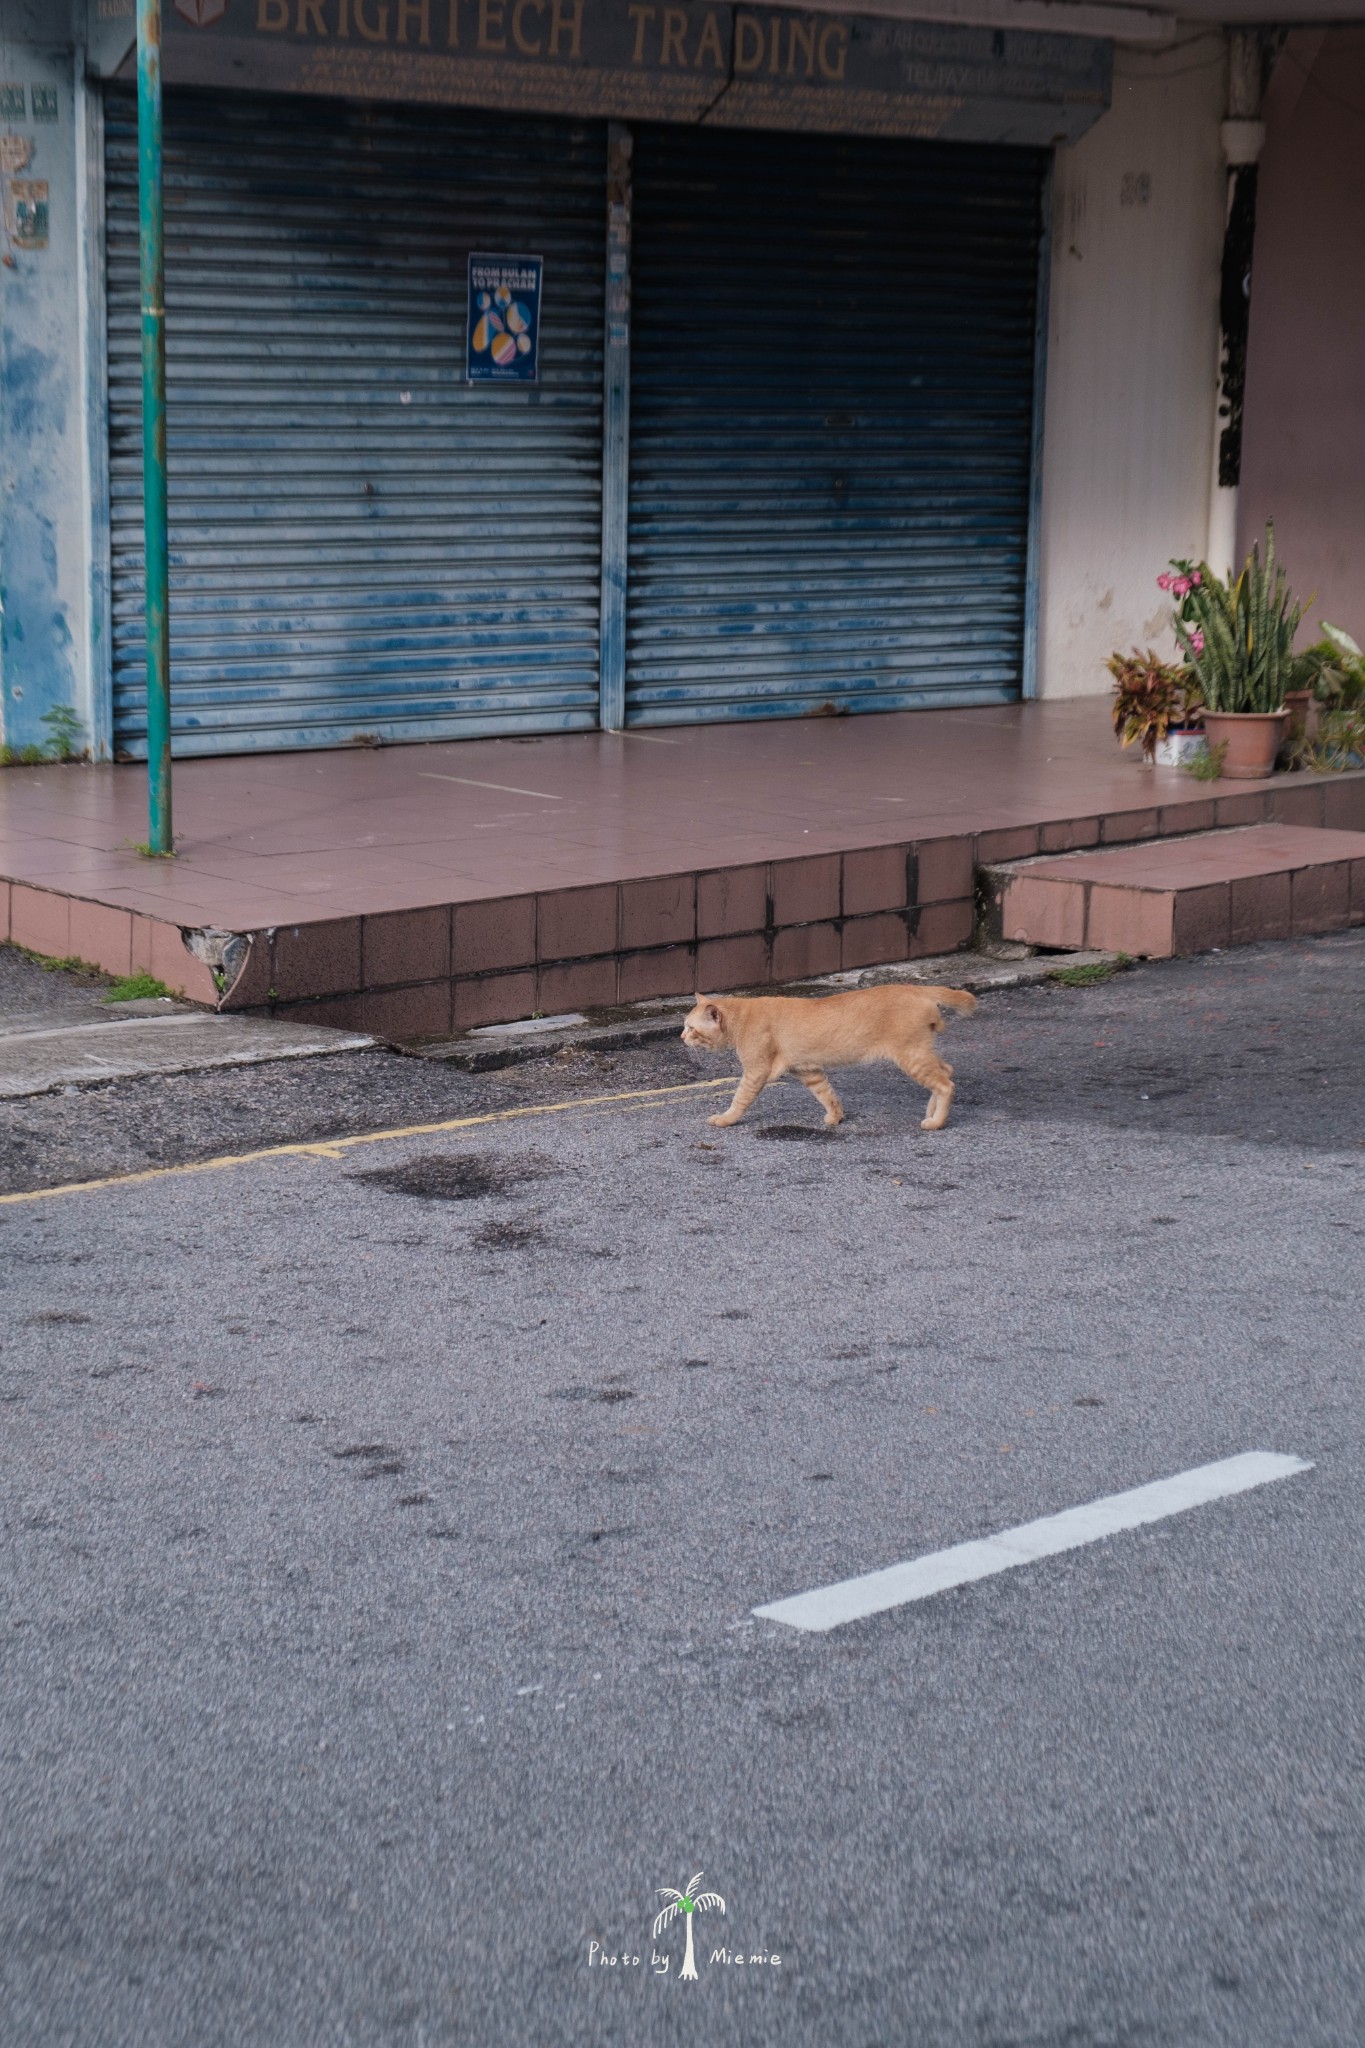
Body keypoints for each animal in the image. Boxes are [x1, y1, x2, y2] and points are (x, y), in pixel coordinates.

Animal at [687, 978, 978, 1130]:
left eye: (690, 1028)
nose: (681, 1038)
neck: (742, 1015)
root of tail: (915, 987)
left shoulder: (756, 1071)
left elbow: (739, 1098)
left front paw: (725, 1118)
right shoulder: (808, 1070)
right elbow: (827, 1094)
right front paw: (836, 1117)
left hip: (911, 1055)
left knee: (946, 1084)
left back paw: (936, 1122)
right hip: (919, 1052)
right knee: (946, 1071)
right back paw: (931, 1112)